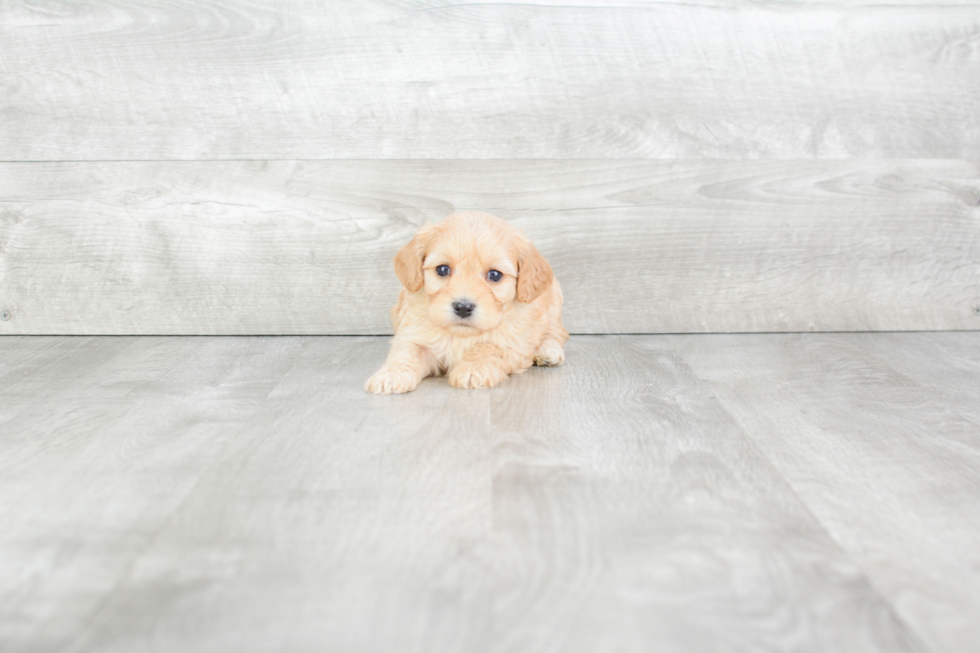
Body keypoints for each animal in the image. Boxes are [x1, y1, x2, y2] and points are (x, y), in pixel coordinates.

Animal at [366, 210, 568, 392]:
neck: (461, 335)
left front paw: (473, 370)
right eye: (442, 269)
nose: (463, 307)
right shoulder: (413, 334)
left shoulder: (513, 344)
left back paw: (548, 352)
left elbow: (487, 348)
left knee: (555, 332)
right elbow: (406, 352)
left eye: (495, 275)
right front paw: (391, 375)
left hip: (553, 305)